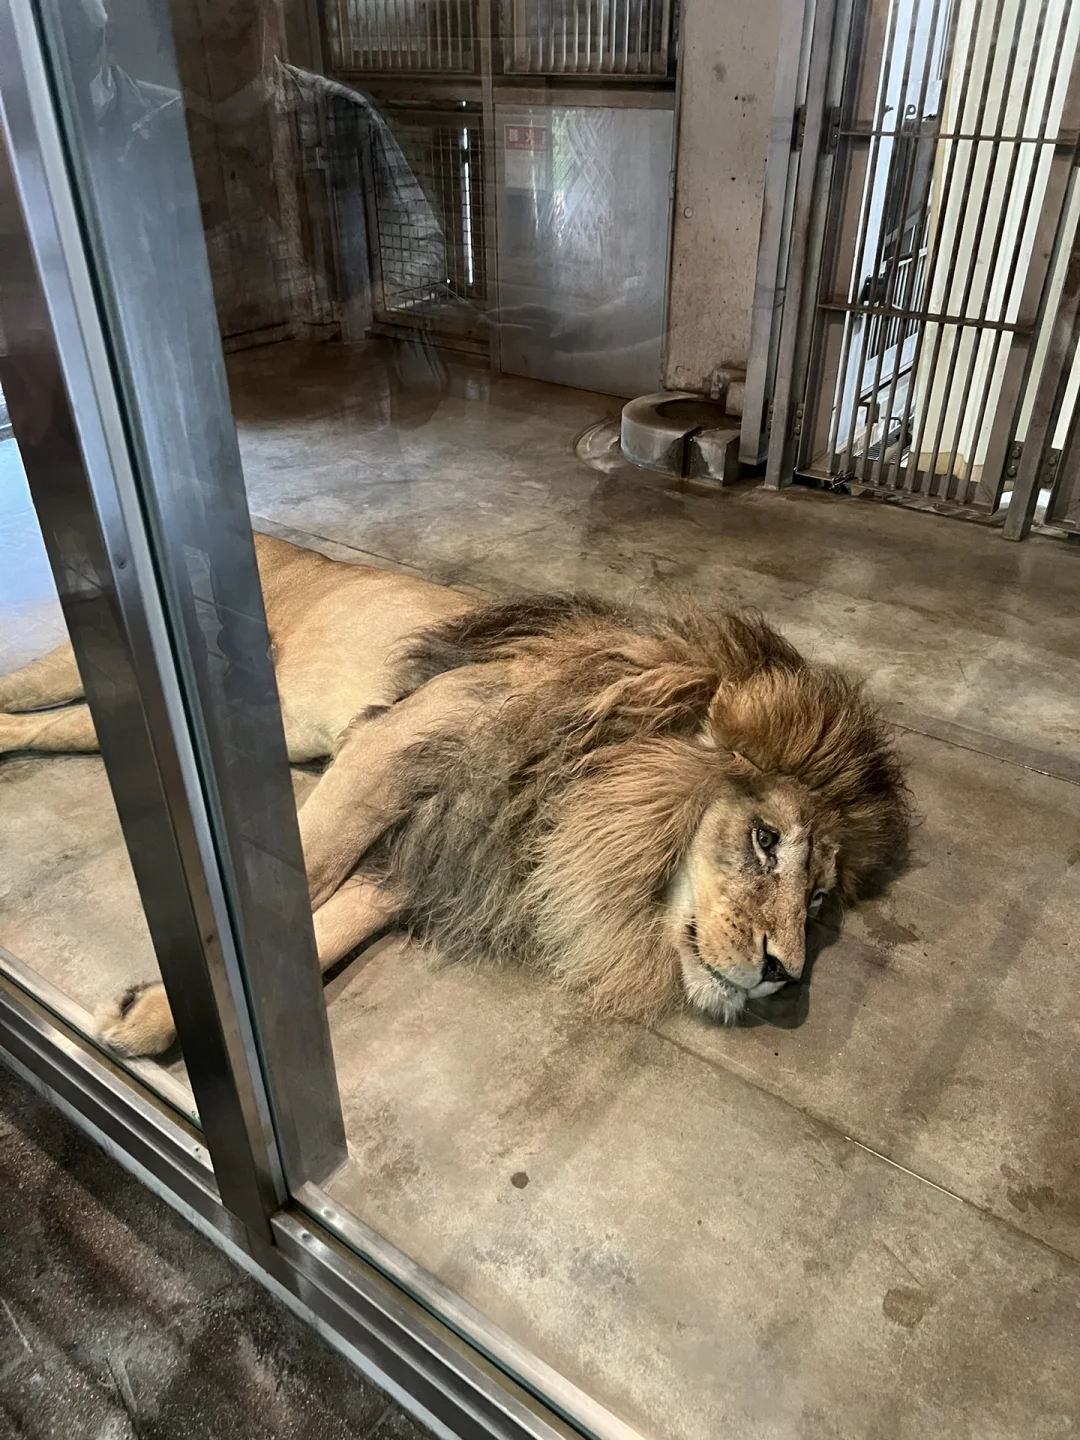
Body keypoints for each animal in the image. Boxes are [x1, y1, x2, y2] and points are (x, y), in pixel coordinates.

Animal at [0, 533, 910, 1055]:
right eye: (765, 840)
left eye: (819, 898)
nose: (784, 974)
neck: (572, 795)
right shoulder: (391, 751)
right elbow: (304, 877)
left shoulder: (438, 846)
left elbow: (328, 929)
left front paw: (147, 1015)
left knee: (55, 727)